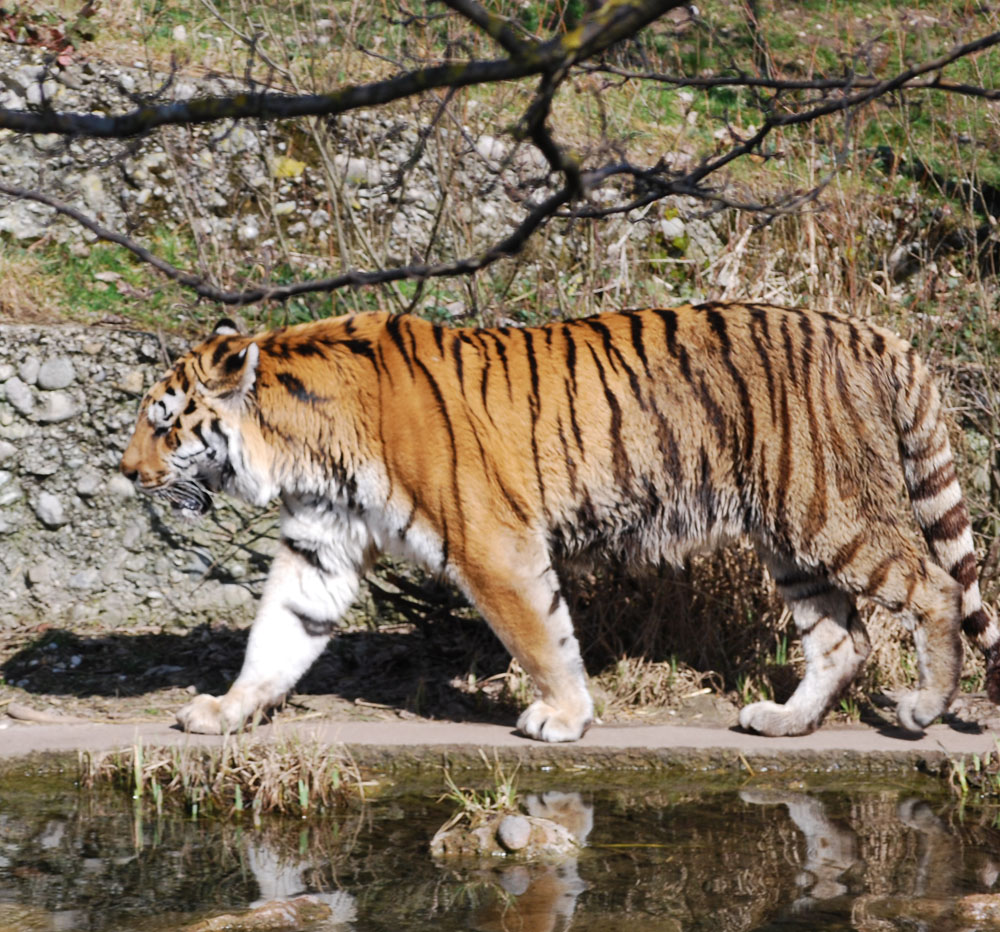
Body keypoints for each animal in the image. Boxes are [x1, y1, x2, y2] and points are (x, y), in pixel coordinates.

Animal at [119, 302, 1000, 740]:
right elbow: (278, 635)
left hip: (830, 511)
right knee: (842, 638)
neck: (302, 445)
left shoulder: (490, 542)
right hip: (789, 539)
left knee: (933, 588)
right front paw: (224, 711)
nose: (127, 473)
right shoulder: (321, 544)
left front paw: (564, 718)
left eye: (163, 425)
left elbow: (542, 637)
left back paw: (922, 710)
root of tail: (876, 333)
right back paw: (784, 722)